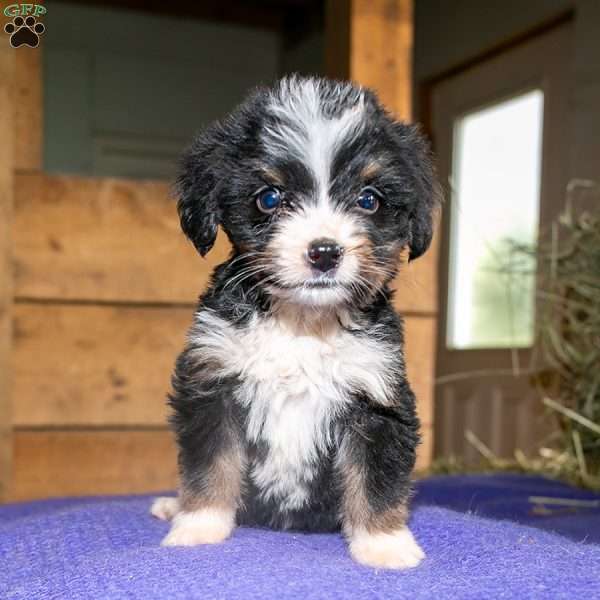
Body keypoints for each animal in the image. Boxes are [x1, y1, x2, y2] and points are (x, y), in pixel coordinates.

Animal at [152, 77, 438, 568]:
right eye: (269, 198)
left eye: (369, 200)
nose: (324, 252)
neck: (302, 324)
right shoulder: (213, 386)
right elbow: (211, 466)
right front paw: (198, 527)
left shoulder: (378, 399)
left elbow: (376, 480)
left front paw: (384, 545)